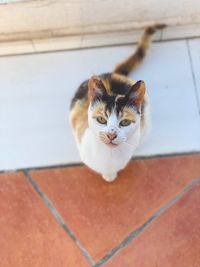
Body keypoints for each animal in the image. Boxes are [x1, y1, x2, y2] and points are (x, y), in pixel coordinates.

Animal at [69, 24, 166, 182]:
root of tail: (116, 74)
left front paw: (110, 175)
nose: (111, 135)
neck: (109, 157)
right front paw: (109, 176)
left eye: (125, 122)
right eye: (101, 119)